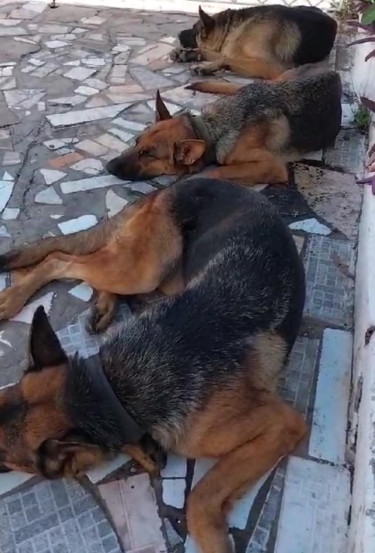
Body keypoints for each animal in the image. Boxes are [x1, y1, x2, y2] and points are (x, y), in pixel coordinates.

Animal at [0, 178, 306, 552]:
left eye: (2, 454)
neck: (113, 386)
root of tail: (184, 183)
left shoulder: (281, 423)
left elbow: (200, 498)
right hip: (148, 269)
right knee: (72, 260)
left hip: (146, 270)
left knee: (63, 260)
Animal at [106, 69, 344, 183]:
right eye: (136, 143)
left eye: (148, 155)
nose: (107, 167)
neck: (208, 129)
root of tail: (335, 74)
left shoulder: (271, 166)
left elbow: (217, 172)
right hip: (276, 79)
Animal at [172, 5, 340, 78]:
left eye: (194, 30)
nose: (178, 33)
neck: (234, 28)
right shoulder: (229, 49)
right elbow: (217, 54)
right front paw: (188, 54)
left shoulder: (271, 67)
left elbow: (226, 58)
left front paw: (206, 67)